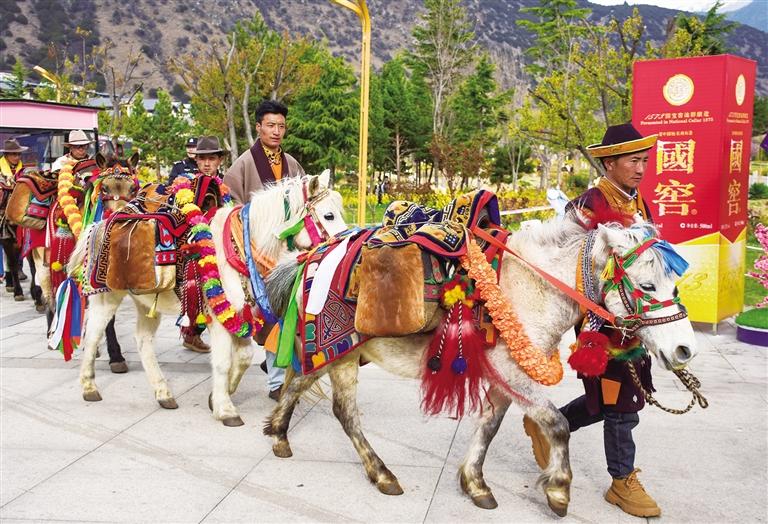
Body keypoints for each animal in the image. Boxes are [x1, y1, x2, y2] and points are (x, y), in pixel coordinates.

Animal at [68, 172, 346, 413]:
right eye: (329, 215)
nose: (344, 245)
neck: (238, 246)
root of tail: (98, 225)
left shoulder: (241, 311)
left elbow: (244, 357)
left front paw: (221, 395)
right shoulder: (218, 317)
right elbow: (222, 362)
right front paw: (225, 410)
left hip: (145, 302)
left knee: (143, 341)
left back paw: (163, 394)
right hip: (107, 297)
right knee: (93, 335)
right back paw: (89, 387)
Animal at [261, 217, 698, 516]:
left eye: (674, 284)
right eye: (646, 286)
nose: (684, 350)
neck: (528, 287)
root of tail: (309, 258)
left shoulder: (505, 377)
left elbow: (489, 425)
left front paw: (475, 483)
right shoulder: (513, 372)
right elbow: (556, 423)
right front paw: (558, 490)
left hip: (332, 352)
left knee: (298, 381)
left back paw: (279, 434)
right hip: (344, 354)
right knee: (344, 412)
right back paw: (382, 474)